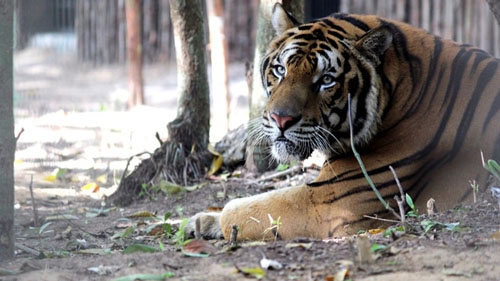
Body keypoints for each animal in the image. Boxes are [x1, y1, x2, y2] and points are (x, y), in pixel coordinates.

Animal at [188, 3, 500, 240]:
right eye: (280, 70)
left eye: (326, 80)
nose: (280, 119)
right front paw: (194, 222)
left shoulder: (329, 201)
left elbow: (238, 209)